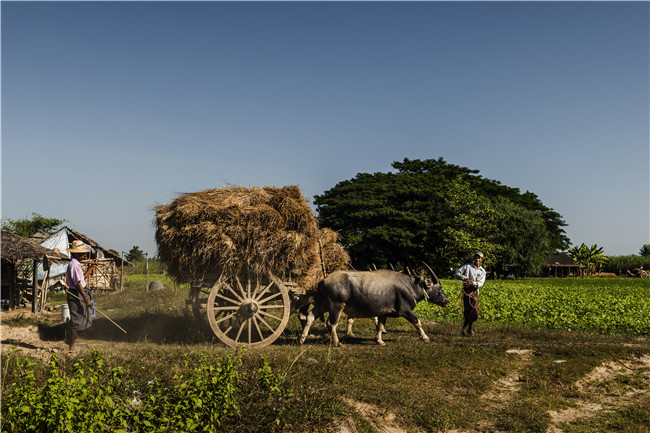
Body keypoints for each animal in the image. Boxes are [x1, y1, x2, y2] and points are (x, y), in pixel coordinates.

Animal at [298, 268, 446, 346]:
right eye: (439, 288)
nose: (447, 301)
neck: (410, 286)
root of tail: (323, 280)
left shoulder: (383, 313)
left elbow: (380, 326)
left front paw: (379, 340)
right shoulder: (405, 310)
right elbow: (418, 322)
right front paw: (425, 338)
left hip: (322, 304)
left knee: (310, 316)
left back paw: (302, 339)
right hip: (336, 306)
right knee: (331, 323)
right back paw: (337, 342)